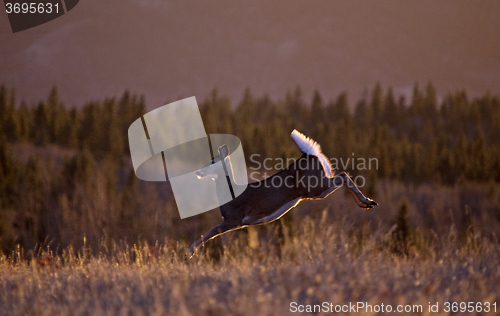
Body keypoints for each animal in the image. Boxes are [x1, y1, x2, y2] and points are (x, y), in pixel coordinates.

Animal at [186, 129, 376, 260]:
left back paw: (367, 201)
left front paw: (189, 253)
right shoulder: (236, 222)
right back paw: (367, 204)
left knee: (343, 175)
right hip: (315, 189)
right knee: (342, 176)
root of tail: (307, 155)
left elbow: (210, 232)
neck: (229, 192)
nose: (198, 172)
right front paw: (190, 252)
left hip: (315, 186)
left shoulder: (233, 218)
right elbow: (210, 233)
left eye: (212, 161)